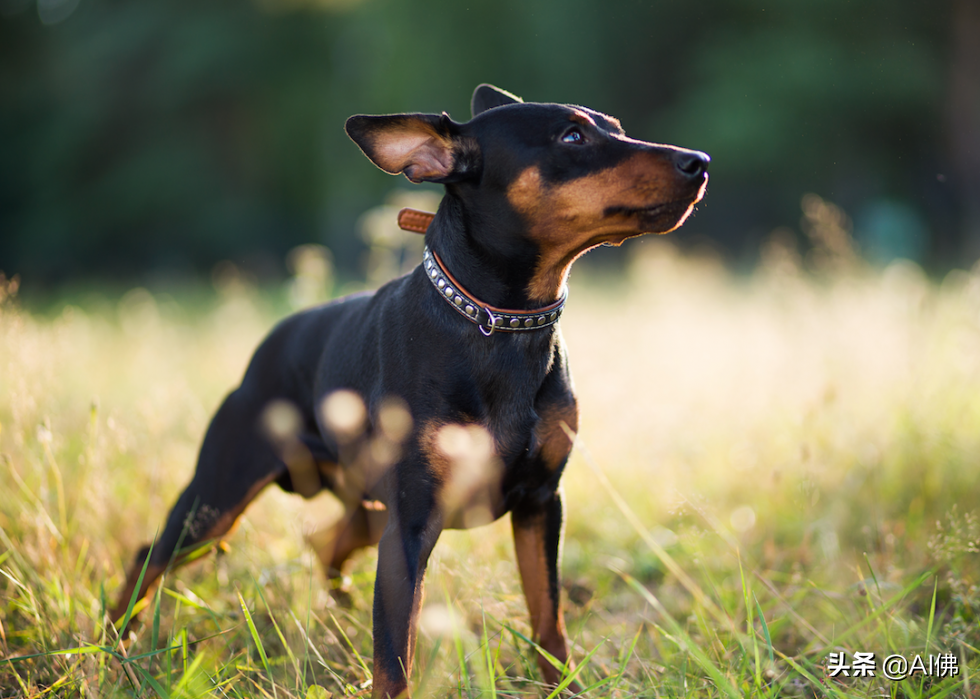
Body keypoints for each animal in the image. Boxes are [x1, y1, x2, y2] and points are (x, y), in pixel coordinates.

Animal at [115, 85, 708, 696]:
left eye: (616, 127)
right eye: (572, 136)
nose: (699, 163)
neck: (499, 326)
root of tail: (268, 345)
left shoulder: (541, 504)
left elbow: (549, 620)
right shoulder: (411, 528)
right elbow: (394, 661)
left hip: (363, 509)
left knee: (324, 542)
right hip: (217, 499)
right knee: (147, 556)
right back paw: (118, 647)